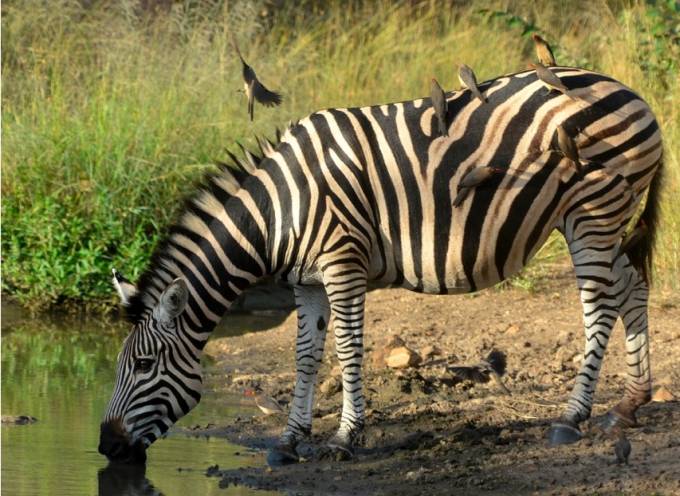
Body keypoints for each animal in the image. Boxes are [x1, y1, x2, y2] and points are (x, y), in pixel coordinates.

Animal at [98, 67, 660, 464]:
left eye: (143, 366)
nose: (104, 445)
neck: (279, 213)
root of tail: (631, 91)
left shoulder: (342, 262)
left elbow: (347, 350)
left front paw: (345, 438)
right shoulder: (306, 282)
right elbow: (305, 356)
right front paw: (290, 439)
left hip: (592, 211)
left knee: (600, 305)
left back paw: (572, 417)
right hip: (600, 219)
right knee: (632, 286)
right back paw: (629, 405)